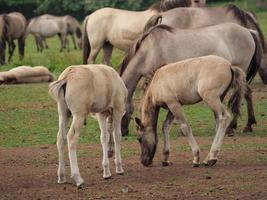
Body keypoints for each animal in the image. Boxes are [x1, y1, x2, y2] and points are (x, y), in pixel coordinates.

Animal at [120, 23, 262, 137]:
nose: (123, 132)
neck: (150, 50)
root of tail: (249, 31)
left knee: (242, 95)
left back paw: (234, 127)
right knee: (247, 93)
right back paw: (246, 125)